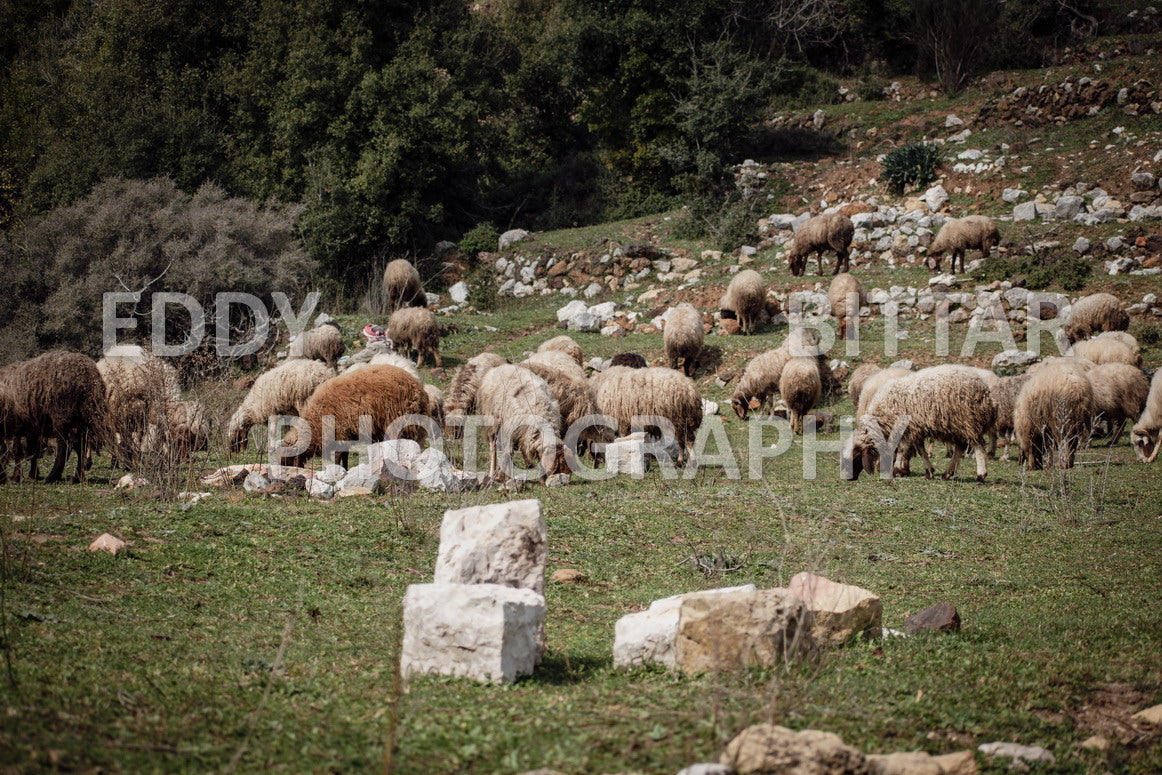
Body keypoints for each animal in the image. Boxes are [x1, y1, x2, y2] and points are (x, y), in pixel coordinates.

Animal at [1, 353, 109, 485]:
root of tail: (89, 374)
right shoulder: (29, 428)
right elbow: (30, 451)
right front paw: (30, 475)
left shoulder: (18, 426)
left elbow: (18, 451)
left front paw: (17, 476)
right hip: (81, 419)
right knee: (80, 447)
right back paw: (77, 477)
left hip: (62, 415)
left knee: (64, 447)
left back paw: (52, 477)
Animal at [280, 364, 432, 467]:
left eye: (287, 460)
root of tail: (419, 389)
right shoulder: (345, 434)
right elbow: (345, 455)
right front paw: (344, 469)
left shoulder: (340, 432)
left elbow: (338, 455)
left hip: (402, 421)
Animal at [845, 364, 999, 485]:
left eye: (855, 457)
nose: (848, 478)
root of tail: (984, 390)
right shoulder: (915, 429)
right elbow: (920, 451)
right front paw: (929, 472)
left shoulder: (905, 428)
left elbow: (901, 449)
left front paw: (896, 470)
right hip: (957, 426)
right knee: (959, 448)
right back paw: (947, 474)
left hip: (969, 421)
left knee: (978, 446)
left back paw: (980, 476)